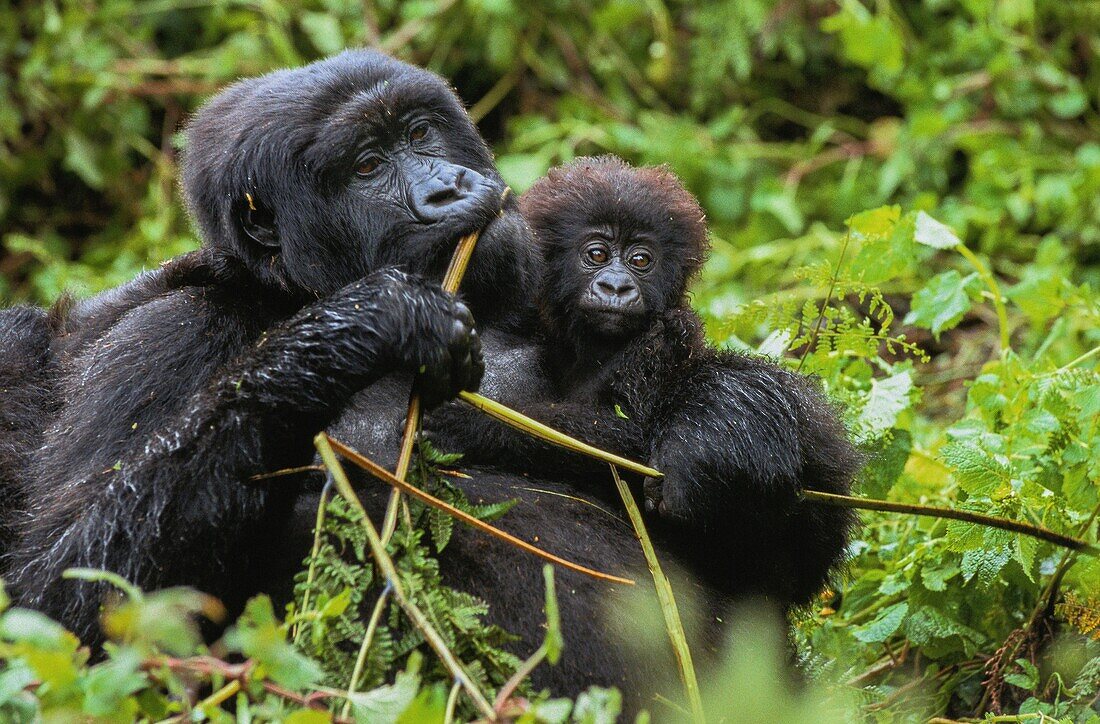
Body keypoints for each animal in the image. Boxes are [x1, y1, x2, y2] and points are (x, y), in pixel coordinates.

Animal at [429, 155, 858, 607]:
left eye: (640, 261)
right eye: (596, 254)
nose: (616, 286)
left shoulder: (669, 337)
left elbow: (630, 443)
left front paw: (471, 425)